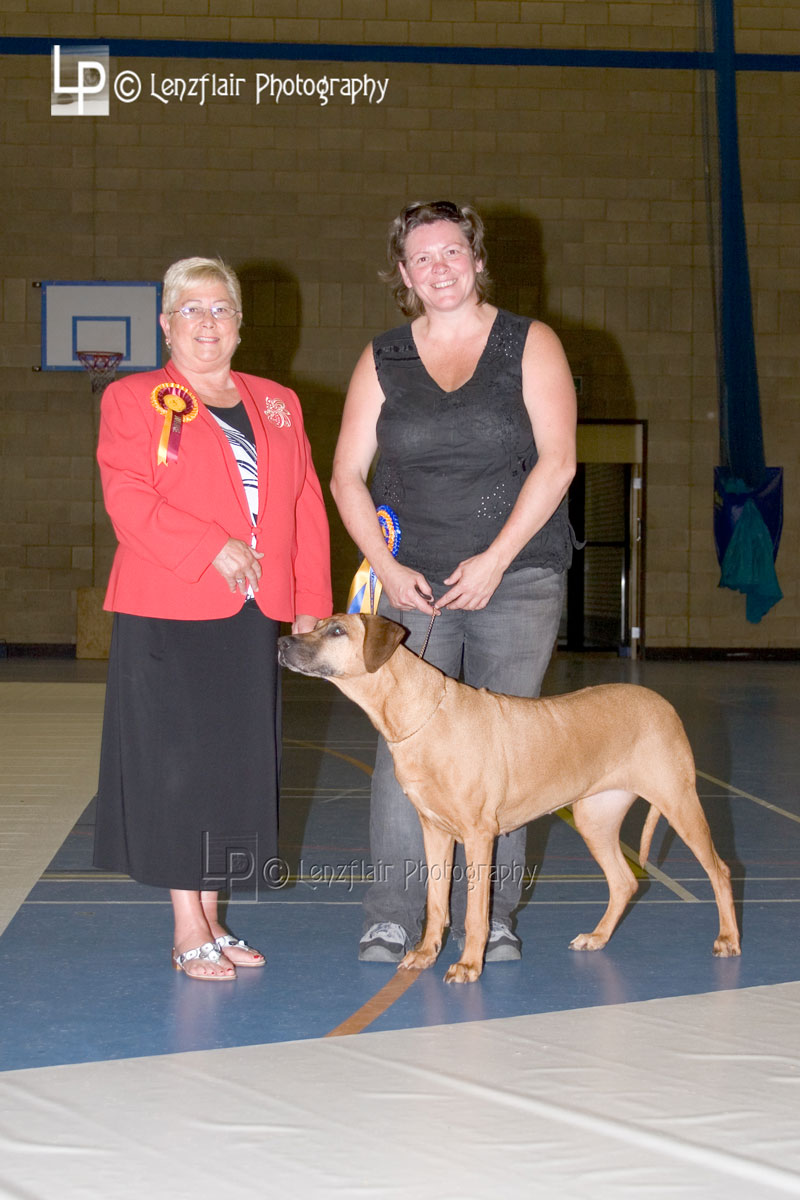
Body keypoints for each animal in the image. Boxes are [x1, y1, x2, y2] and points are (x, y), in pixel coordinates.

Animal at [278, 614, 740, 983]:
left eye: (337, 630)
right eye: (319, 623)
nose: (283, 642)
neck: (421, 714)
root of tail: (662, 704)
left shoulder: (479, 835)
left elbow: (475, 912)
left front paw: (468, 965)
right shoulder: (434, 830)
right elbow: (436, 902)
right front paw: (425, 955)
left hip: (679, 801)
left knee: (719, 869)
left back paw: (728, 939)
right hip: (595, 818)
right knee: (625, 881)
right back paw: (597, 937)